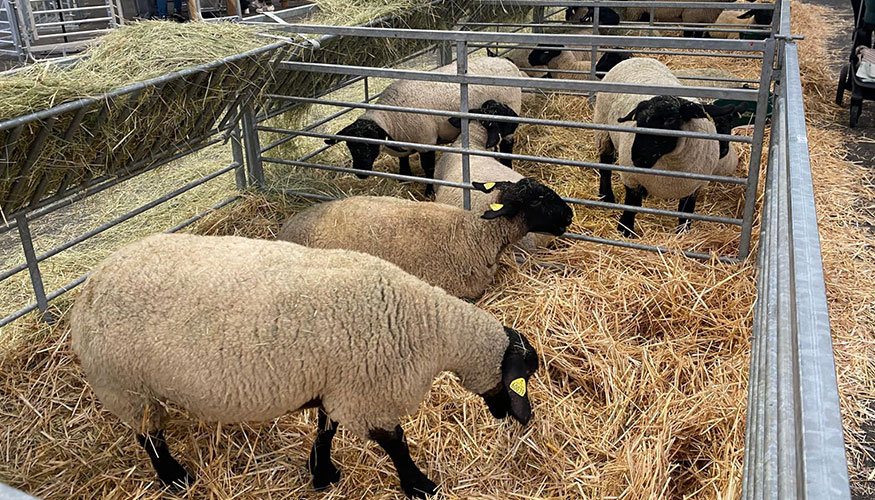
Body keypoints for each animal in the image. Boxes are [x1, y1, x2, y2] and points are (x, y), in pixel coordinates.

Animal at [69, 233, 540, 499]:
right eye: (522, 376)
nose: (520, 417)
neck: (429, 325)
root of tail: (92, 282)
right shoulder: (367, 396)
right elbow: (397, 444)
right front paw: (419, 486)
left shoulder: (337, 385)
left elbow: (326, 429)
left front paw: (323, 472)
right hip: (125, 386)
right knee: (149, 436)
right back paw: (174, 479)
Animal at [325, 57, 523, 196]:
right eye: (350, 145)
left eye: (370, 144)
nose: (360, 173)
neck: (392, 116)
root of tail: (505, 61)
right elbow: (403, 159)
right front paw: (404, 176)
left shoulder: (426, 141)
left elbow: (428, 169)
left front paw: (428, 192)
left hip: (509, 115)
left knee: (507, 144)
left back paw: (507, 165)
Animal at [593, 57, 736, 236]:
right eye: (637, 120)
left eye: (670, 119)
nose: (637, 158)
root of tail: (635, 58)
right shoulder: (630, 178)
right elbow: (632, 205)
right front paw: (625, 229)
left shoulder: (695, 187)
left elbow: (686, 212)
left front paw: (682, 234)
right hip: (603, 129)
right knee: (605, 165)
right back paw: (606, 196)